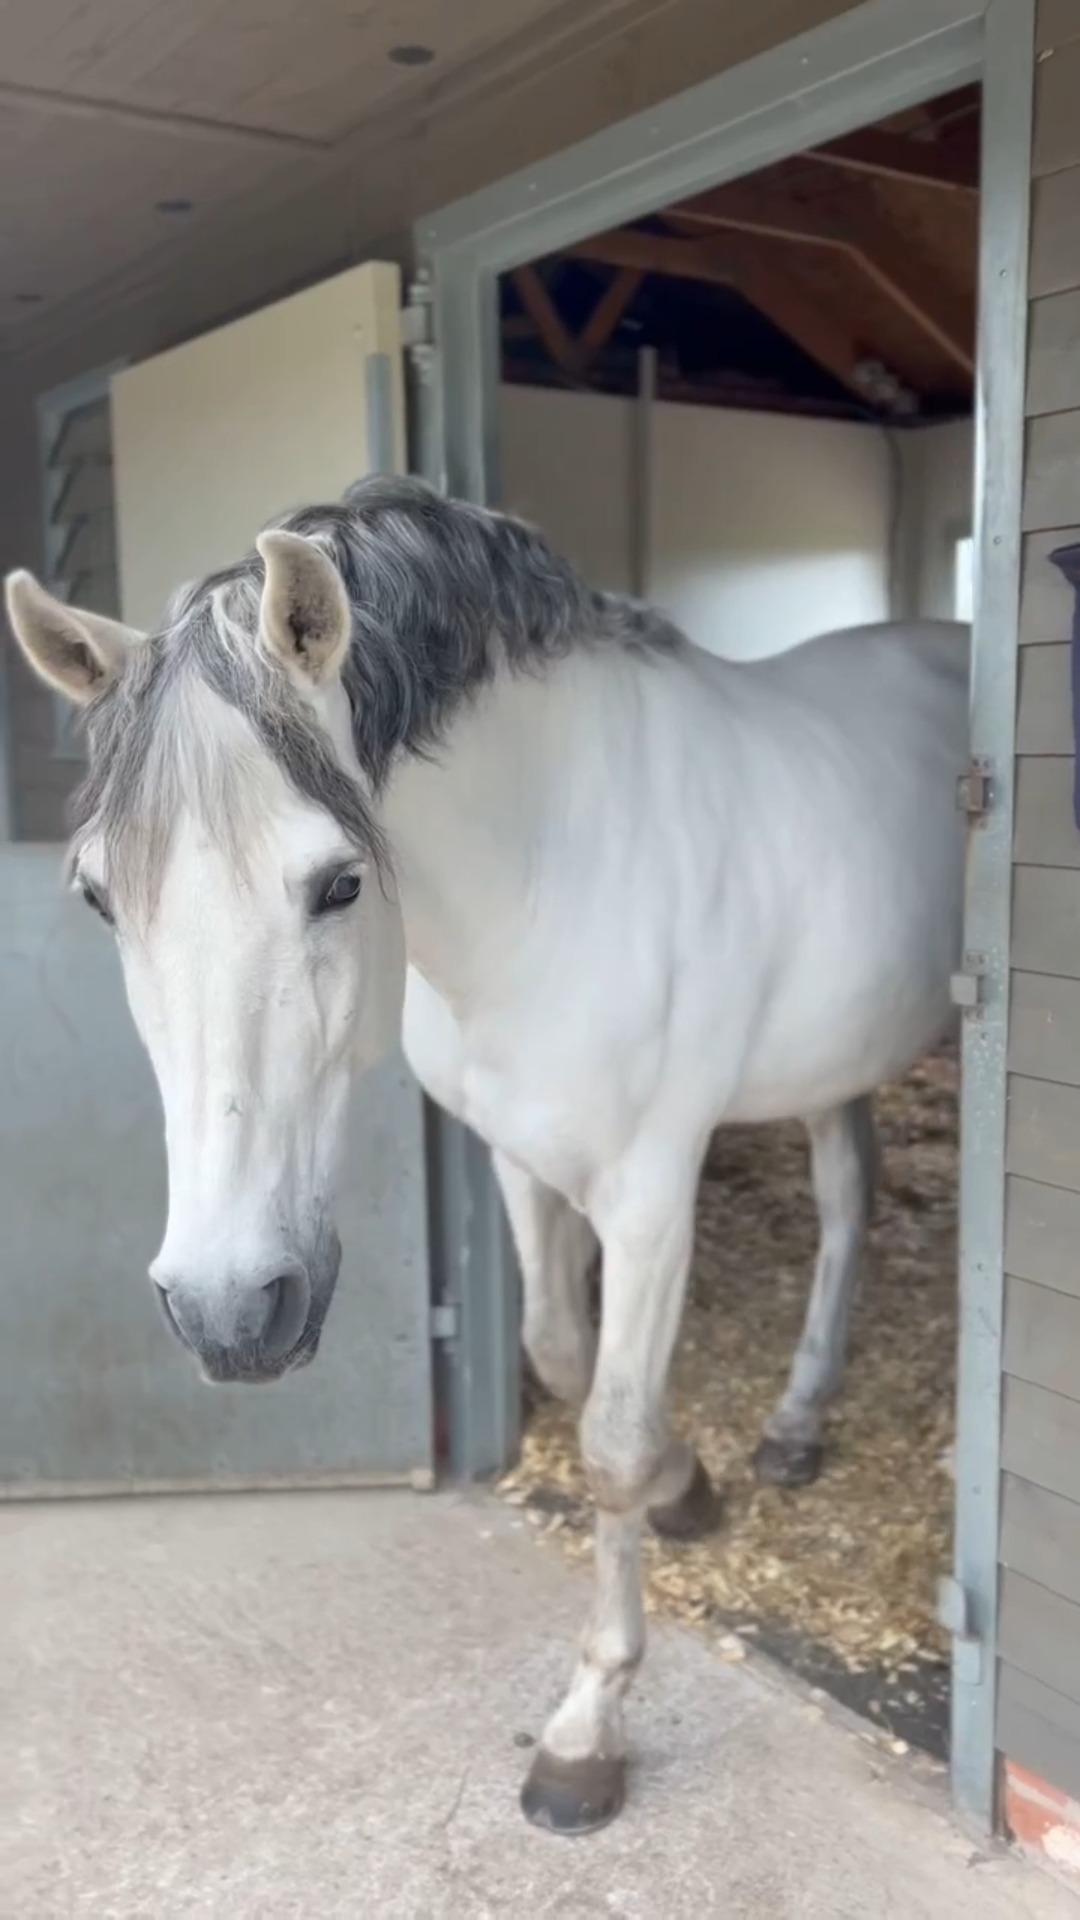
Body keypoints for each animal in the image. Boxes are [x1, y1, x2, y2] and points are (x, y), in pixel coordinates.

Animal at [5, 475, 968, 1837]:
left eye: (339, 883)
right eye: (98, 896)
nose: (228, 1311)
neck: (564, 866)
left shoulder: (651, 1195)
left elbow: (609, 1434)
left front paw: (587, 1730)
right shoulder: (521, 1159)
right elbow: (562, 1354)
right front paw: (691, 1487)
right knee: (845, 1198)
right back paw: (791, 1427)